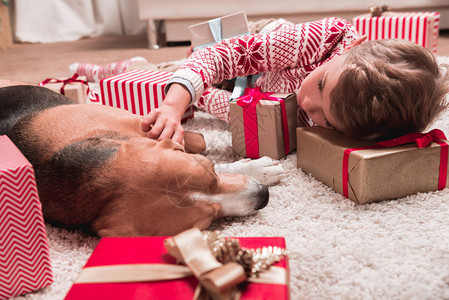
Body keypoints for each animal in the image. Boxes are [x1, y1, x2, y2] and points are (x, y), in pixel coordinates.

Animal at [0, 84, 284, 237]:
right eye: (209, 221)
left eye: (212, 175)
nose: (264, 195)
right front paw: (261, 169)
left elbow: (200, 143)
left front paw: (255, 166)